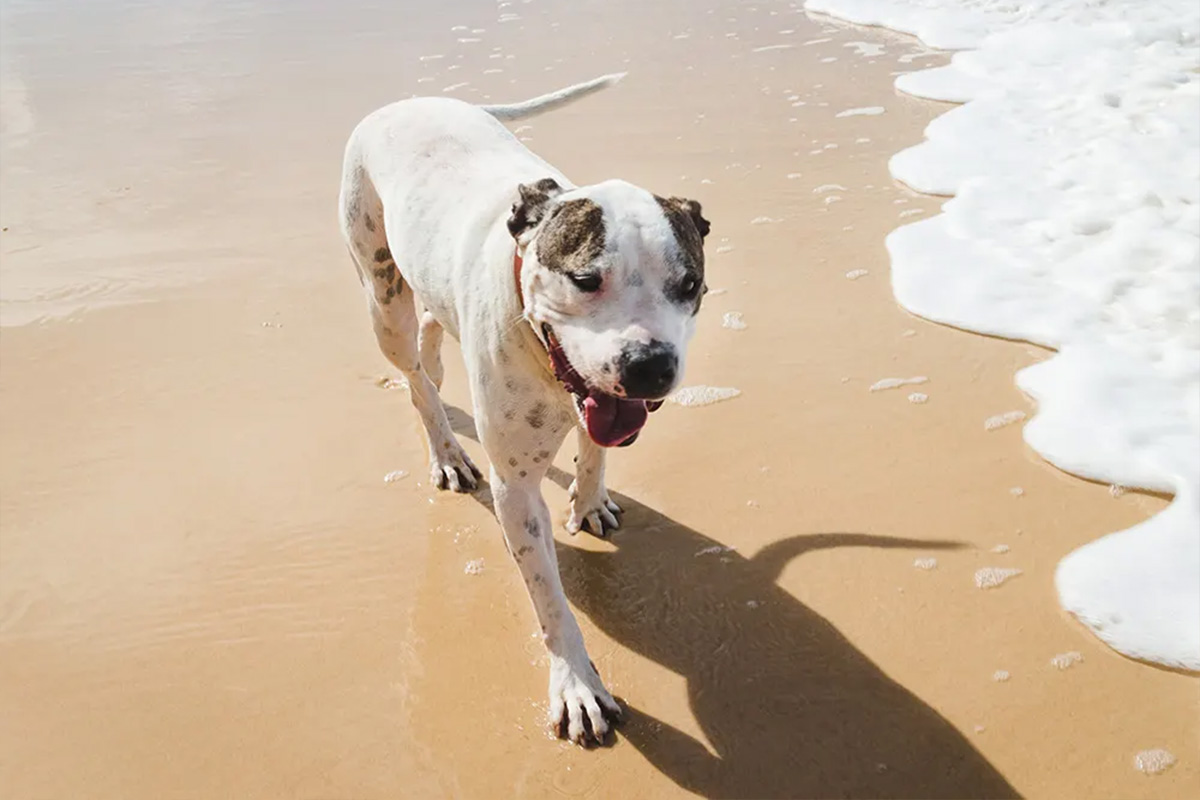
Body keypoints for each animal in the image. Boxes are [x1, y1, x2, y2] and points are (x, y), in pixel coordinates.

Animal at [338, 73, 709, 746]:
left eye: (689, 284)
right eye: (585, 280)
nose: (650, 365)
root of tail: (410, 101)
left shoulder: (598, 395)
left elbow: (594, 448)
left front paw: (589, 501)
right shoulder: (515, 489)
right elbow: (549, 597)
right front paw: (577, 684)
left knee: (433, 325)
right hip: (380, 292)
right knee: (413, 376)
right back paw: (446, 450)